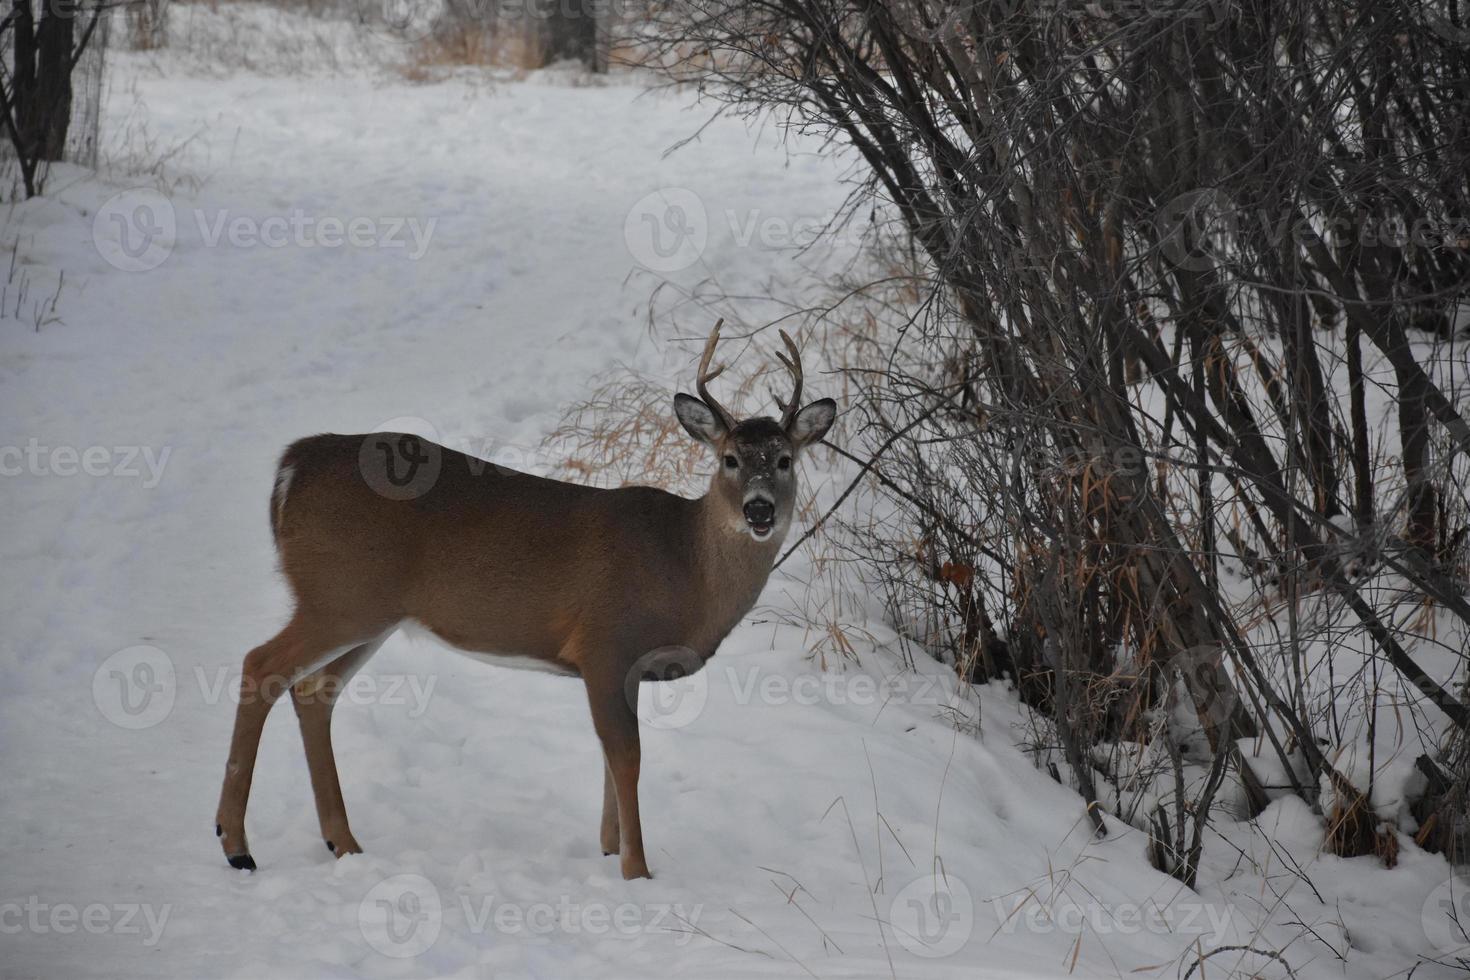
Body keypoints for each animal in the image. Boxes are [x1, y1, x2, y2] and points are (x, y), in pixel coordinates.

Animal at [217, 321, 840, 881]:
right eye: (729, 459)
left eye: (785, 460)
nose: (759, 509)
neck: (684, 566)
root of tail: (291, 467)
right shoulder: (604, 643)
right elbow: (628, 758)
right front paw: (637, 871)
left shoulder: (623, 668)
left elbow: (611, 759)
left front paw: (609, 849)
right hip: (339, 595)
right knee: (260, 665)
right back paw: (237, 845)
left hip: (369, 611)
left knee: (313, 690)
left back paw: (342, 842)